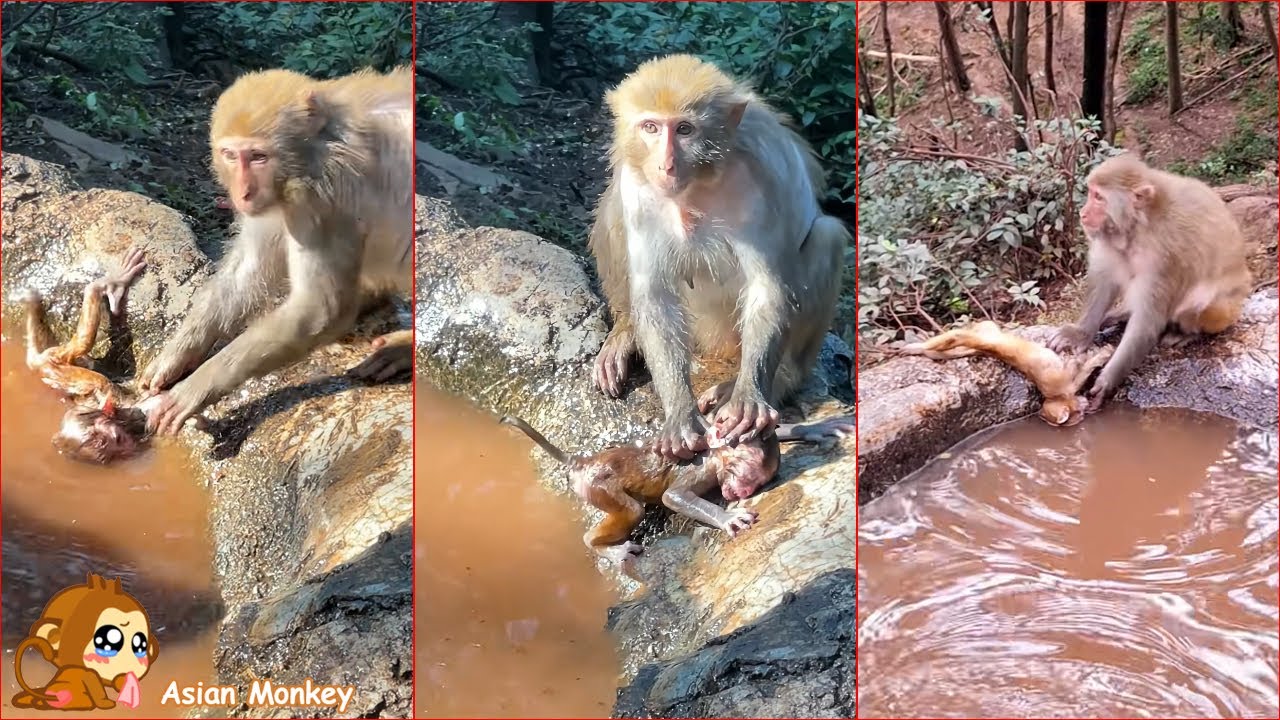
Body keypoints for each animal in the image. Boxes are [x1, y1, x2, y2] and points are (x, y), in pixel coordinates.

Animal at [138, 66, 413, 435]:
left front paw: (195, 389)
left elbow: (319, 310)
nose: (243, 192)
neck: (315, 148)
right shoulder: (279, 201)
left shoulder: (324, 193)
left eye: (258, 157)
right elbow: (248, 273)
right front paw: (177, 355)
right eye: (230, 155)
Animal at [499, 413, 854, 564]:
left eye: (757, 481)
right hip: (594, 486)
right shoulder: (703, 468)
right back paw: (606, 547)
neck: (715, 454)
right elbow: (674, 496)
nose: (739, 493)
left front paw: (813, 428)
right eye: (743, 473)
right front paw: (728, 518)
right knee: (632, 510)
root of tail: (581, 461)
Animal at [588, 54, 851, 460]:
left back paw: (780, 378)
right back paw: (625, 332)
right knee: (611, 204)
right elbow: (654, 294)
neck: (697, 182)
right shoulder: (637, 182)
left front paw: (748, 398)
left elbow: (767, 286)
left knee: (827, 236)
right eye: (650, 127)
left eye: (684, 130)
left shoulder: (756, 178)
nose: (666, 165)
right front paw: (680, 413)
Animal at [899, 320, 1115, 427]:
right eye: (1077, 415)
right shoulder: (1060, 384)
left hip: (985, 333)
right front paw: (1098, 357)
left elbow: (1076, 367)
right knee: (960, 340)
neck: (1059, 396)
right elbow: (1078, 369)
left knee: (962, 341)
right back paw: (921, 348)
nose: (1085, 409)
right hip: (984, 336)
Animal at [1047, 153, 1252, 409]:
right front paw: (1080, 333)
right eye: (1091, 193)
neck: (1137, 227)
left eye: (1098, 197)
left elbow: (1147, 321)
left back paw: (1187, 333)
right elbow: (1105, 282)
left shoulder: (1165, 256)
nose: (1083, 213)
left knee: (1199, 298)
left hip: (1227, 310)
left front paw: (1108, 379)